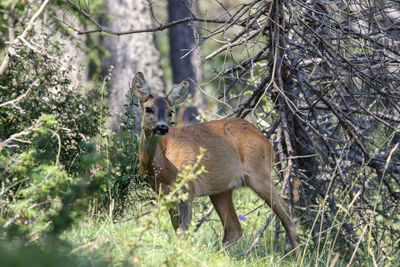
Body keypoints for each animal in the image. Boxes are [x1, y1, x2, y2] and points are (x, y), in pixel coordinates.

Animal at [133, 73, 298, 258]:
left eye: (171, 112)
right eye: (148, 109)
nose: (162, 127)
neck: (162, 169)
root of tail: (266, 141)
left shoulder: (188, 188)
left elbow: (184, 230)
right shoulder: (166, 194)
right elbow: (178, 230)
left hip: (260, 174)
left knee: (286, 215)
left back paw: (297, 257)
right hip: (221, 190)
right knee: (234, 228)